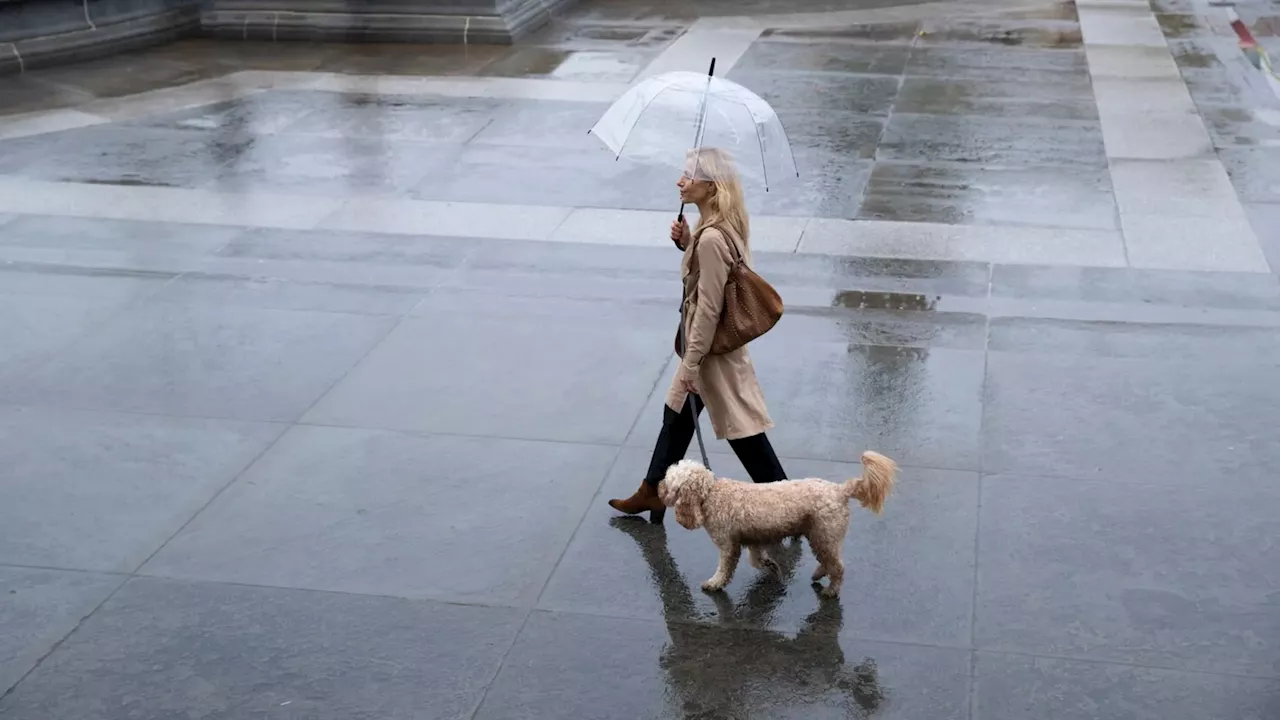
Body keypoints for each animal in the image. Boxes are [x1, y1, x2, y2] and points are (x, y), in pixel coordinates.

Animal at [660, 450, 901, 597]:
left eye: (669, 481)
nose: (658, 488)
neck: (710, 494)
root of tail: (840, 490)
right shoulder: (753, 538)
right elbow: (756, 560)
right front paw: (771, 566)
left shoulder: (728, 545)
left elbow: (724, 568)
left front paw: (714, 583)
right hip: (821, 536)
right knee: (829, 562)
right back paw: (818, 574)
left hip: (824, 534)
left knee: (837, 567)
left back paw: (831, 590)